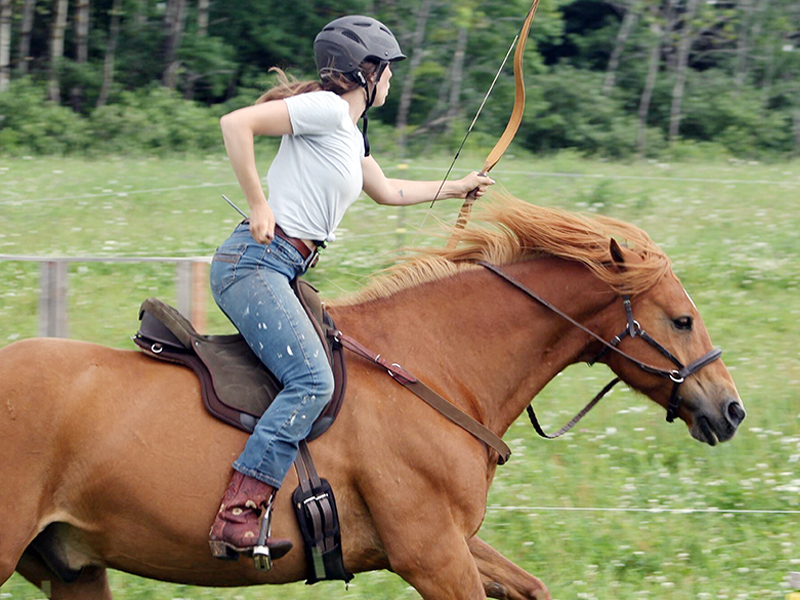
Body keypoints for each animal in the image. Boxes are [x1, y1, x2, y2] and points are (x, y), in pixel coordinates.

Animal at [0, 196, 745, 600]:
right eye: (682, 320)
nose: (730, 409)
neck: (434, 367)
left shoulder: (447, 543)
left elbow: (533, 586)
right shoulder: (431, 554)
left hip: (72, 567)